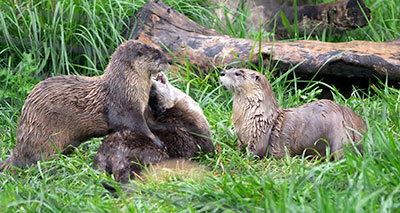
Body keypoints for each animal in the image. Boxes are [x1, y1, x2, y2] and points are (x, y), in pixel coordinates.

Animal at [0, 39, 170, 171]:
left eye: (162, 50)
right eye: (156, 54)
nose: (170, 61)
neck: (126, 87)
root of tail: (18, 149)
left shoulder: (141, 108)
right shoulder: (126, 109)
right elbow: (139, 128)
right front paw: (158, 141)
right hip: (44, 138)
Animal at [220, 68, 368, 158]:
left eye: (238, 73)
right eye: (230, 69)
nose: (222, 72)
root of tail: (344, 118)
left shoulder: (259, 135)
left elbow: (256, 151)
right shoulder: (241, 136)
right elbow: (239, 145)